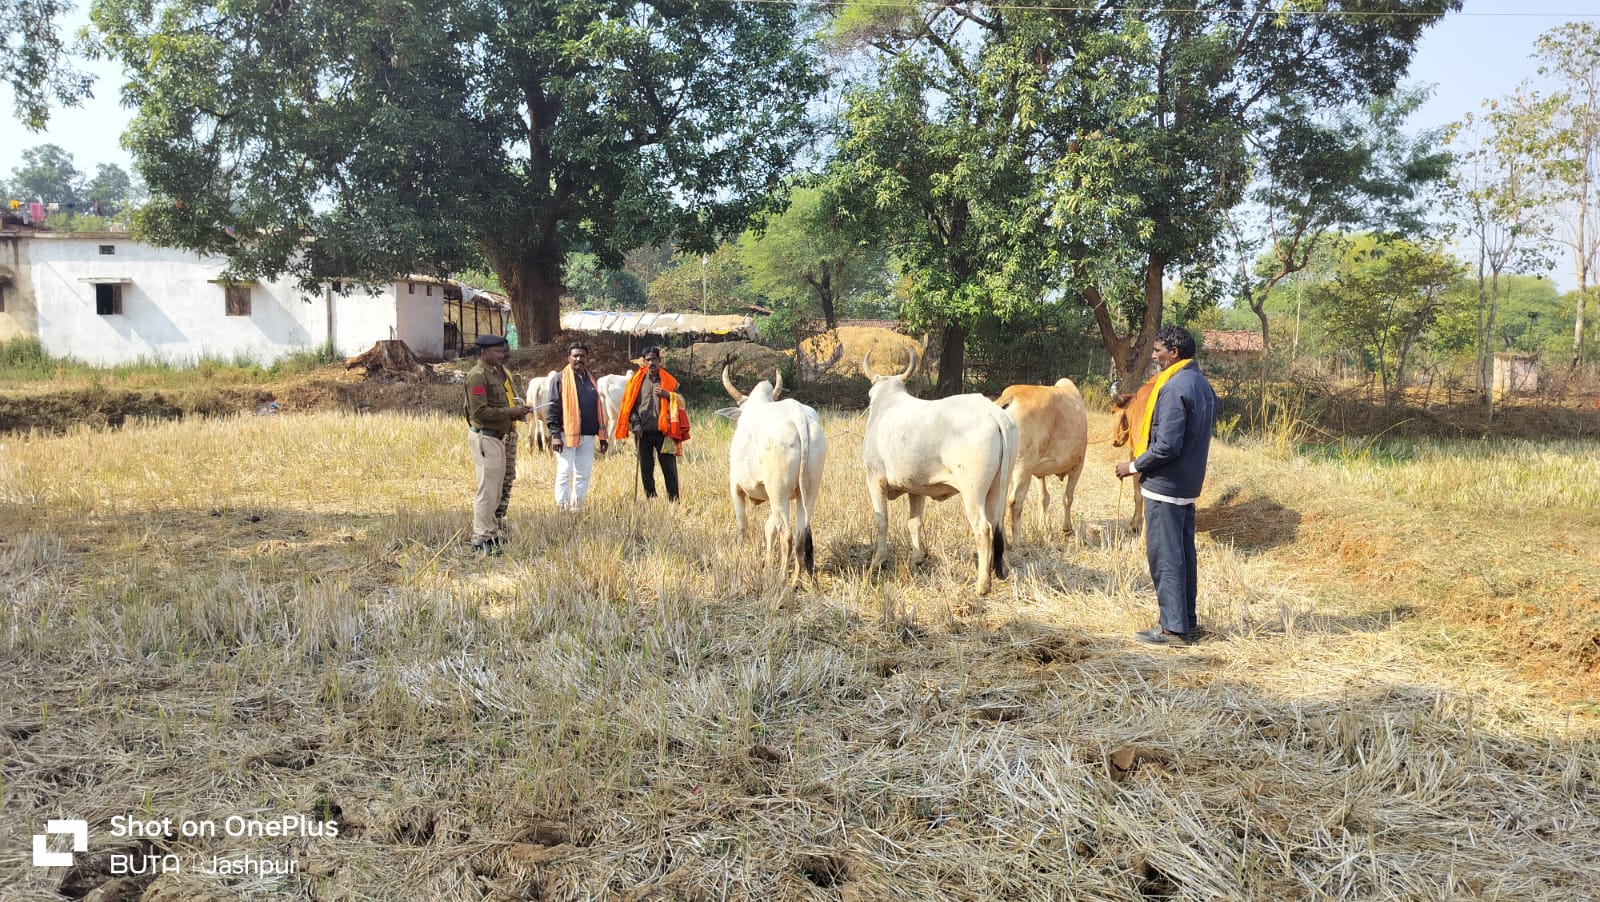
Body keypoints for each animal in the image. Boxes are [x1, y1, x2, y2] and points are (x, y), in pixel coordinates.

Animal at [723, 369, 825, 582]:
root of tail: (798, 415)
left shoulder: (735, 487)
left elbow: (742, 524)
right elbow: (769, 528)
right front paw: (769, 563)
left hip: (778, 492)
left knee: (787, 535)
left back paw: (781, 578)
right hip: (806, 492)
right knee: (800, 535)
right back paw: (795, 578)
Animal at [857, 348, 1017, 594]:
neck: (886, 404)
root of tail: (993, 412)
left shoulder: (874, 478)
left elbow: (882, 521)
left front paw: (878, 560)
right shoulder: (916, 489)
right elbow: (914, 523)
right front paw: (916, 560)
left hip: (972, 492)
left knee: (983, 529)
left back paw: (982, 585)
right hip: (998, 487)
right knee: (998, 525)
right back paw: (999, 571)